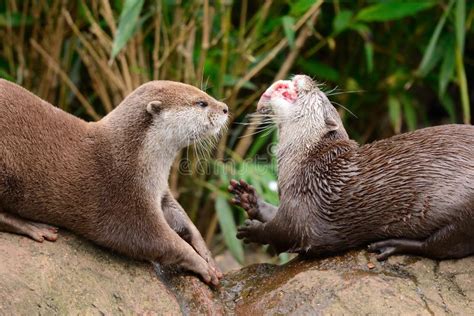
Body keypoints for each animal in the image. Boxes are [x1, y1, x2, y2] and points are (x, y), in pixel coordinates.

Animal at [0, 78, 230, 284]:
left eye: (205, 94)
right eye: (201, 103)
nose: (226, 108)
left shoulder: (159, 190)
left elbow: (182, 218)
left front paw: (206, 253)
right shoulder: (124, 201)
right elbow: (159, 242)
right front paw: (201, 264)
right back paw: (32, 227)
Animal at [228, 75, 472, 260]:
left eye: (319, 96)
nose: (306, 77)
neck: (307, 167)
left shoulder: (304, 207)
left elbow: (283, 233)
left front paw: (254, 231)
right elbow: (275, 213)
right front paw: (249, 198)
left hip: (463, 213)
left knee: (439, 247)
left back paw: (390, 245)